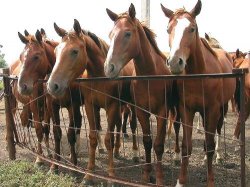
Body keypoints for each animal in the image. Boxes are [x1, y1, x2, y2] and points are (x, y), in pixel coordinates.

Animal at [16, 30, 83, 173]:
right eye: (20, 56)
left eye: (36, 56)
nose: (22, 87)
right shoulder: (48, 105)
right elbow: (46, 130)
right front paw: (45, 161)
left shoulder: (72, 105)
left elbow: (70, 134)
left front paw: (73, 166)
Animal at [46, 19, 138, 184]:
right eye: (56, 51)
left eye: (74, 51)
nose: (52, 85)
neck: (100, 76)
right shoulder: (90, 106)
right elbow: (93, 137)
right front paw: (88, 175)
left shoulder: (112, 106)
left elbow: (108, 139)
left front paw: (111, 176)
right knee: (117, 126)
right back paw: (117, 150)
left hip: (129, 106)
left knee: (131, 126)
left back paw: (134, 154)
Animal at [104, 3, 175, 185]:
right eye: (110, 35)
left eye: (128, 33)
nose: (108, 67)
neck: (150, 75)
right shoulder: (141, 111)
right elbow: (148, 141)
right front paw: (146, 174)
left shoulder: (162, 112)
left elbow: (159, 144)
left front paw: (159, 178)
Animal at [161, 0, 235, 186]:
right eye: (168, 29)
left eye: (192, 28)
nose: (175, 62)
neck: (199, 75)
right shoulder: (186, 109)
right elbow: (187, 146)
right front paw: (180, 181)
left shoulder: (212, 110)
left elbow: (209, 146)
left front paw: (210, 181)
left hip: (222, 108)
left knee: (217, 132)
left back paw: (218, 157)